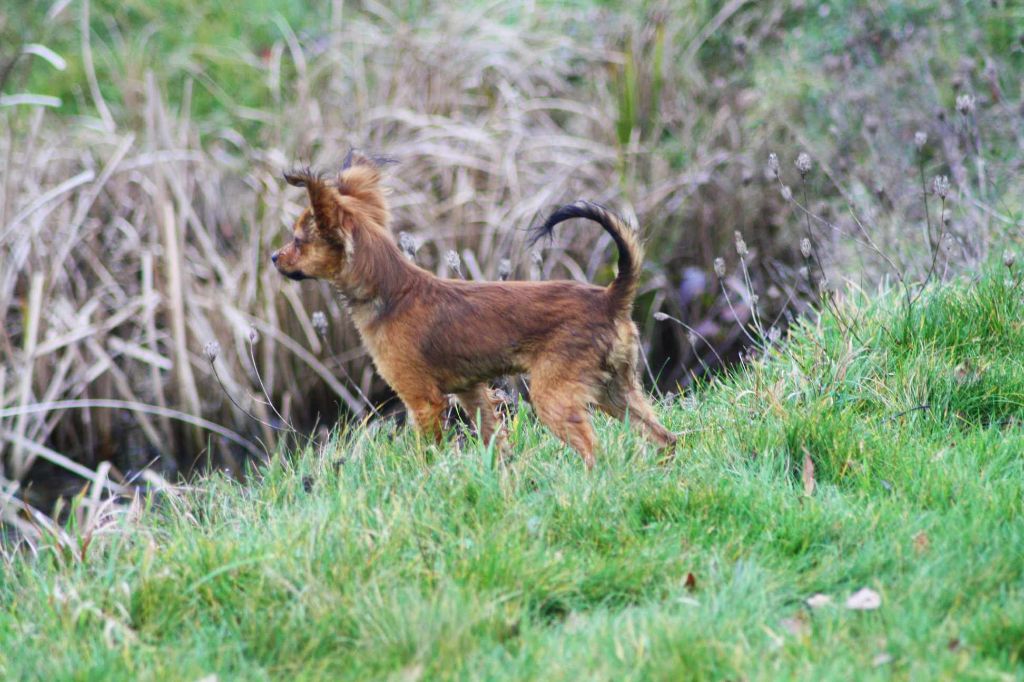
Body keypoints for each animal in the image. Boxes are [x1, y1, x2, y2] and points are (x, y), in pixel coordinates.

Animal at [270, 152, 679, 466]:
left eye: (297, 240)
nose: (274, 257)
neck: (391, 292)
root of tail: (610, 296)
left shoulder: (423, 401)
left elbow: (427, 454)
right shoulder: (472, 392)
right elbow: (494, 440)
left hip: (555, 396)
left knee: (596, 452)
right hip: (616, 390)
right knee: (665, 438)